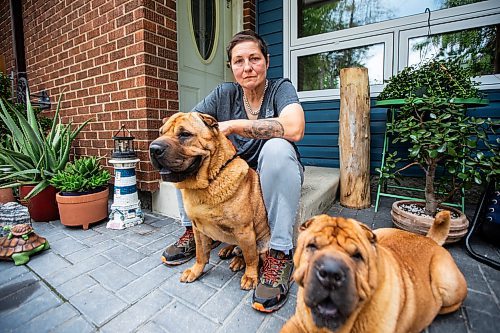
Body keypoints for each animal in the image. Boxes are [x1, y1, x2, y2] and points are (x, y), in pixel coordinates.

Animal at [148, 111, 270, 288]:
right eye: (161, 133)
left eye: (185, 134)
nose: (154, 148)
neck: (208, 182)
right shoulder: (198, 228)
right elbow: (201, 254)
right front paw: (195, 271)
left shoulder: (244, 230)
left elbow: (251, 258)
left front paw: (250, 276)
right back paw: (228, 250)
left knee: (255, 256)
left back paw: (239, 261)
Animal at [284, 211, 466, 332]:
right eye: (312, 246)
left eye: (357, 255)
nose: (330, 273)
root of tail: (429, 239)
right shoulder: (297, 323)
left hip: (447, 282)